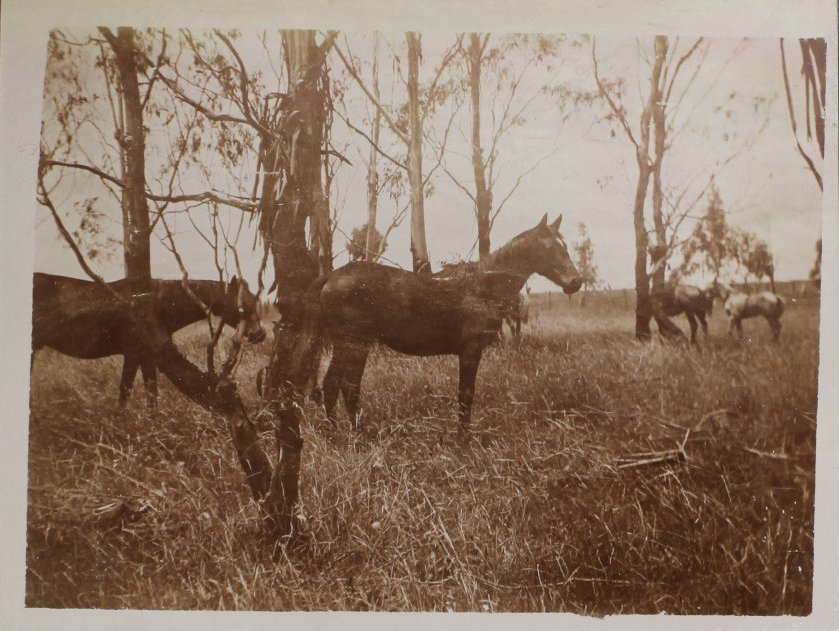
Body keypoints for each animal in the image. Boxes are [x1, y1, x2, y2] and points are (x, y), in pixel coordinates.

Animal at [32, 273, 267, 406]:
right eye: (242, 306)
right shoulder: (134, 354)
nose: (260, 334)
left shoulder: (144, 357)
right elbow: (128, 393)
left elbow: (149, 392)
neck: (153, 304)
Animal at [315, 214, 582, 433]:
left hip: (354, 346)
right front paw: (463, 440)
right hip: (353, 344)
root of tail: (330, 277)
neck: (482, 288)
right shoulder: (470, 351)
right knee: (341, 386)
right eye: (548, 246)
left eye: (565, 246)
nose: (576, 282)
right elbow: (466, 396)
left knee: (336, 386)